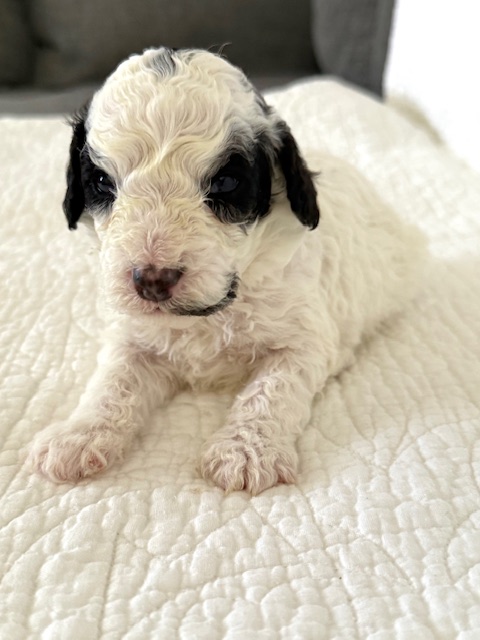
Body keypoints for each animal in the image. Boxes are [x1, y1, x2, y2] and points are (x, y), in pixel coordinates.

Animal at [27, 47, 426, 494]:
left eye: (225, 183)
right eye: (100, 181)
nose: (153, 281)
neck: (210, 312)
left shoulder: (305, 338)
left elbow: (272, 389)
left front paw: (246, 450)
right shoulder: (133, 335)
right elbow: (113, 380)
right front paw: (79, 435)